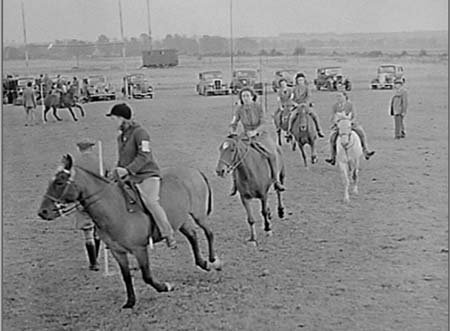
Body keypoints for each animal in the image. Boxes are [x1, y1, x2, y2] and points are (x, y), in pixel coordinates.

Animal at [37, 154, 221, 310]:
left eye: (59, 182)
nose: (43, 212)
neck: (115, 208)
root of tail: (194, 171)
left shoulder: (139, 249)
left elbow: (147, 276)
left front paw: (165, 287)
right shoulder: (118, 252)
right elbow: (125, 276)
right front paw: (130, 301)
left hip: (198, 214)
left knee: (209, 233)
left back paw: (214, 261)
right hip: (180, 220)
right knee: (192, 235)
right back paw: (203, 263)